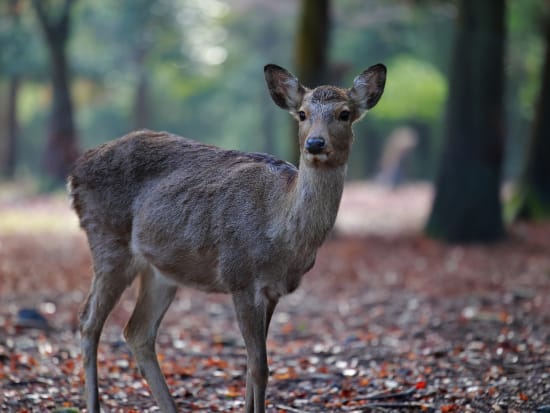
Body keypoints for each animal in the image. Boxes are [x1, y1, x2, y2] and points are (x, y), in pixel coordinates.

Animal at [68, 62, 388, 412]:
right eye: (302, 114)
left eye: (345, 113)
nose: (315, 144)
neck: (281, 234)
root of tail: (75, 172)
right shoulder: (239, 276)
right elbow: (259, 366)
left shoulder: (273, 290)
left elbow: (252, 365)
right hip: (107, 242)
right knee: (88, 321)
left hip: (160, 271)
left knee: (137, 331)